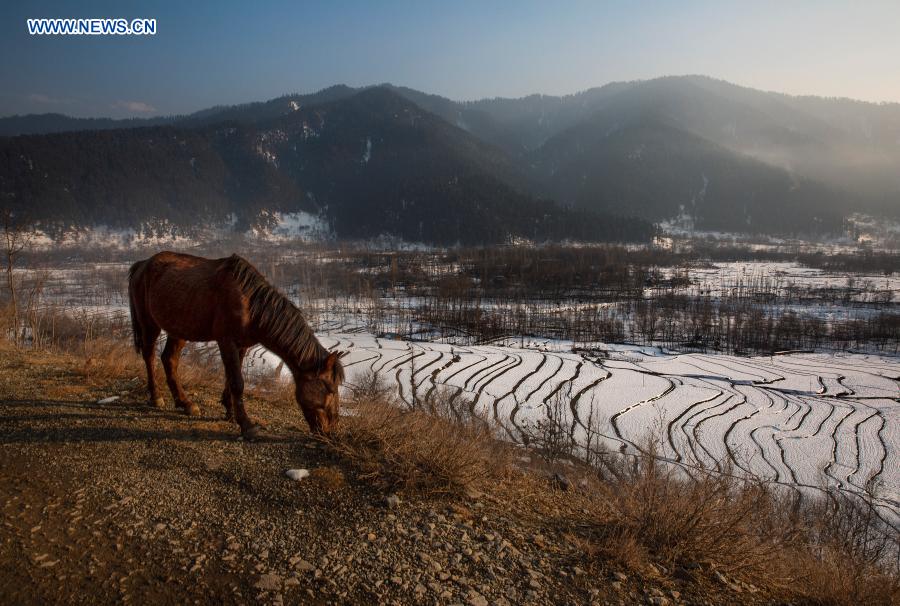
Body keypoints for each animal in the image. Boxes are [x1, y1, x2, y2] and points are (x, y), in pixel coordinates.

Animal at [128, 254, 346, 440]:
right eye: (330, 390)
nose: (330, 433)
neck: (250, 305)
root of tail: (142, 264)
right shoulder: (227, 342)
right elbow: (237, 382)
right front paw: (247, 425)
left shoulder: (241, 346)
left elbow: (232, 378)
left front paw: (230, 412)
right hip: (149, 325)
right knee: (149, 356)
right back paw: (156, 397)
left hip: (179, 329)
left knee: (169, 360)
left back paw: (185, 403)